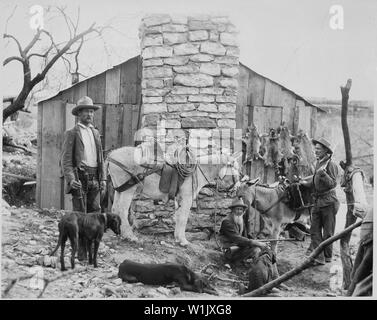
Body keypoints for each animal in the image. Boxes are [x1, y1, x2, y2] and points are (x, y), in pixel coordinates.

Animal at [107, 145, 239, 248]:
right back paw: (129, 236)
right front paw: (184, 241)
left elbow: (178, 217)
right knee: (123, 211)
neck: (197, 171)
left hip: (120, 190)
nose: (237, 187)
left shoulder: (179, 199)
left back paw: (118, 233)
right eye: (234, 167)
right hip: (128, 191)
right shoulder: (187, 198)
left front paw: (177, 238)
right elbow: (183, 218)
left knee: (115, 209)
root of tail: (112, 155)